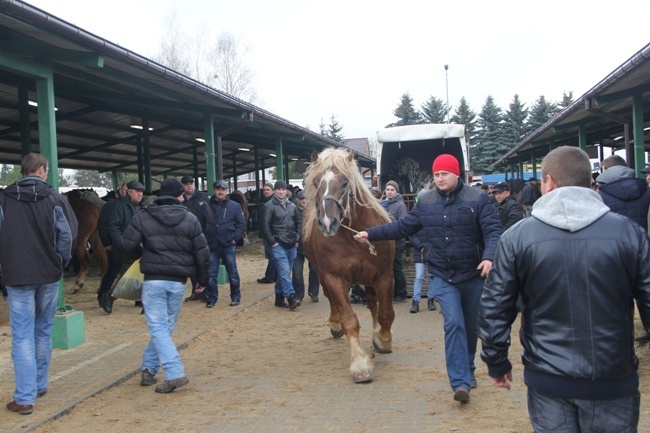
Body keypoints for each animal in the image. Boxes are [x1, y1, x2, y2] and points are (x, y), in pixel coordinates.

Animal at [302, 148, 392, 382]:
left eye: (344, 182)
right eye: (316, 182)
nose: (327, 223)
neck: (353, 236)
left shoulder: (383, 275)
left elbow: (385, 312)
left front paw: (383, 340)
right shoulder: (335, 277)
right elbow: (349, 319)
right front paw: (360, 364)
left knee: (372, 304)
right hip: (323, 275)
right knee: (331, 299)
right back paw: (334, 325)